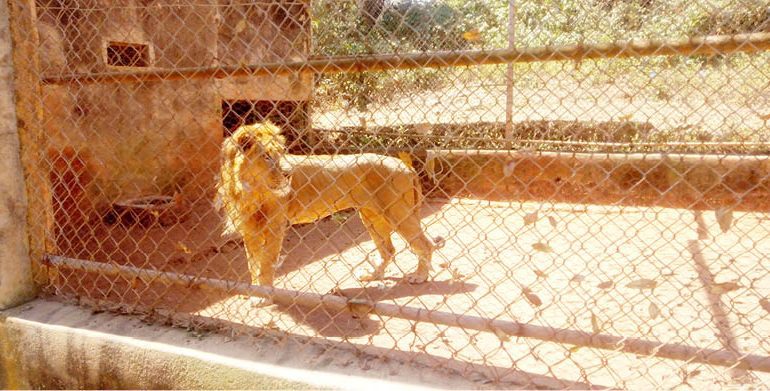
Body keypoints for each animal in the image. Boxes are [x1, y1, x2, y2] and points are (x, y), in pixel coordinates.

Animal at [216, 122, 440, 304]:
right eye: (267, 156)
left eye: (281, 153)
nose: (289, 174)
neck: (248, 190)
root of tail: (405, 165)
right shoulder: (249, 229)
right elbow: (252, 264)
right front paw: (253, 292)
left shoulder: (274, 227)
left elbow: (266, 263)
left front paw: (264, 297)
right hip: (371, 216)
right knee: (388, 250)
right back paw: (373, 275)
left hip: (398, 214)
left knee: (424, 245)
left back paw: (419, 276)